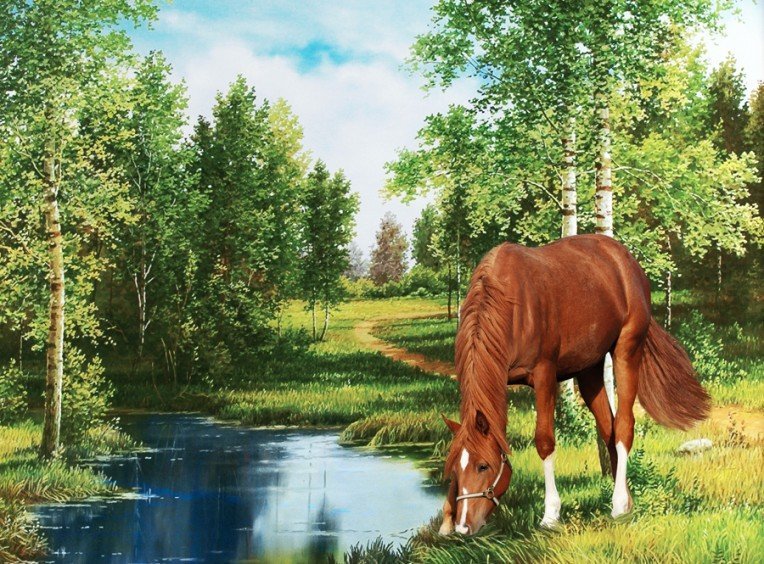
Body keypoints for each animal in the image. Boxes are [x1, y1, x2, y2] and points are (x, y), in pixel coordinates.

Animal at [439, 234, 710, 535]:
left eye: (483, 466)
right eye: (454, 470)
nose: (464, 527)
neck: (511, 305)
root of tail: (625, 259)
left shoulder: (544, 376)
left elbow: (545, 441)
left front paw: (550, 515)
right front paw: (445, 523)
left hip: (627, 350)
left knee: (624, 426)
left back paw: (618, 505)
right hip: (589, 369)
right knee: (608, 428)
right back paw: (626, 501)